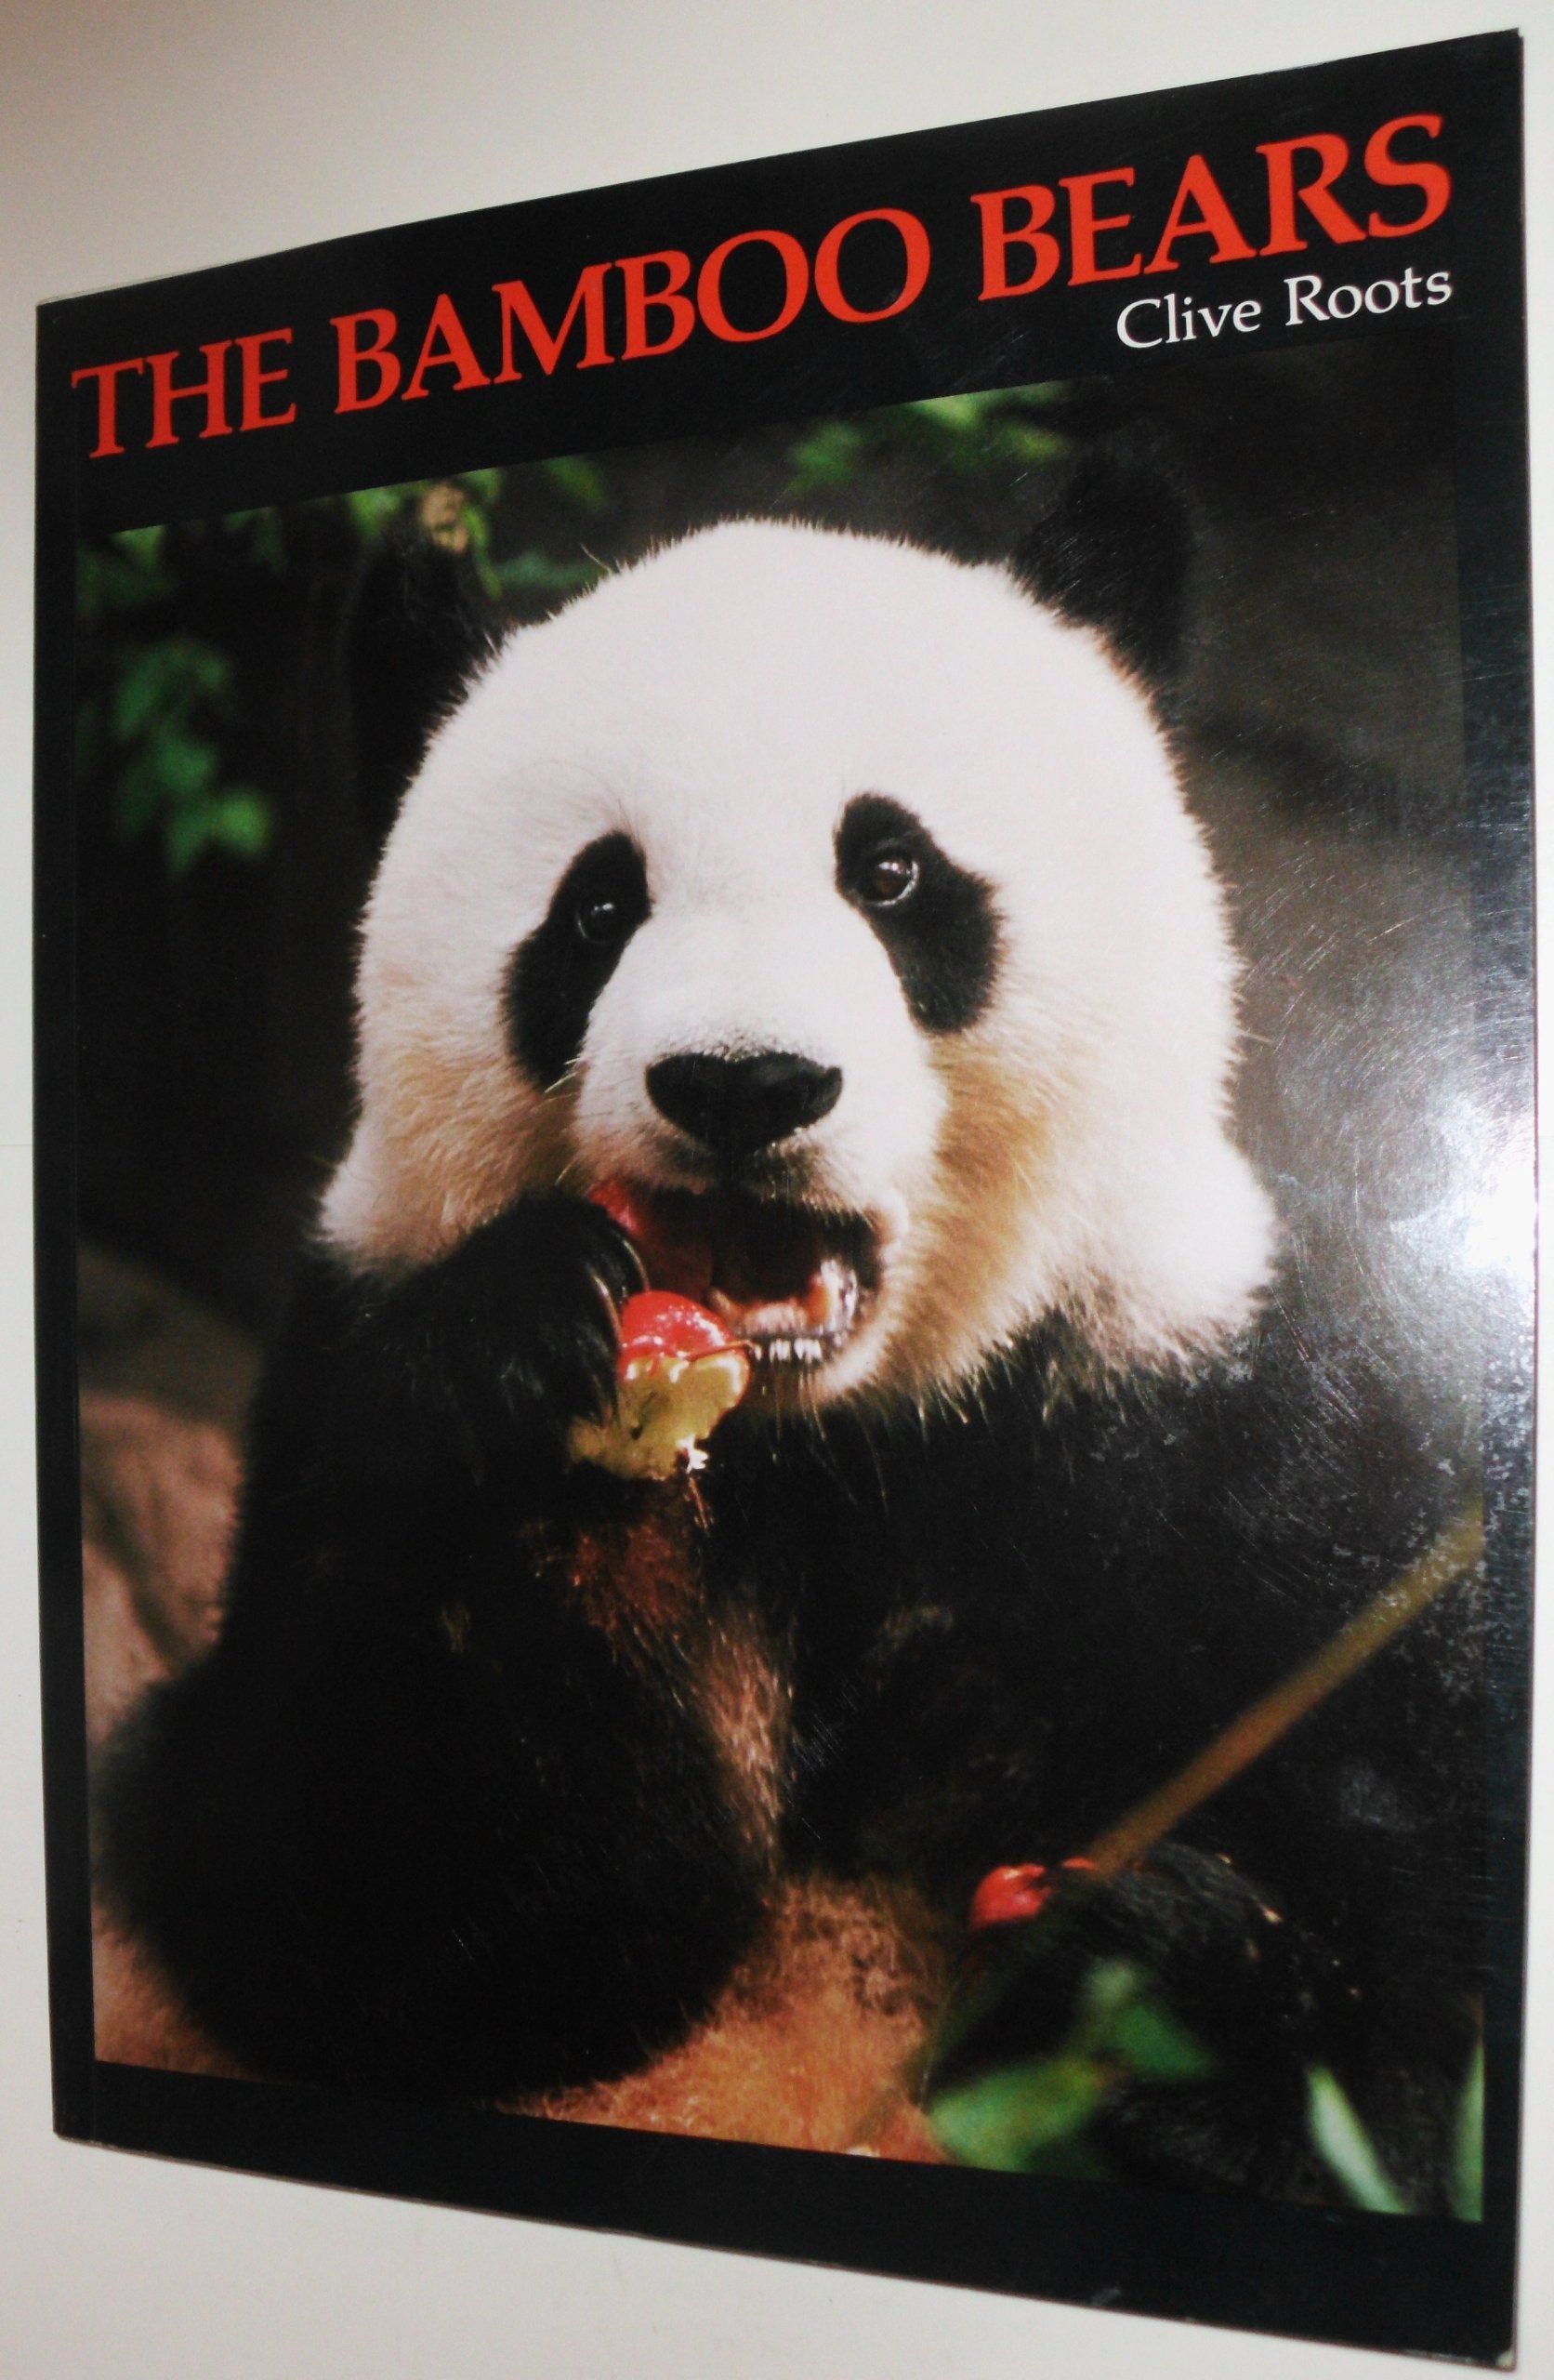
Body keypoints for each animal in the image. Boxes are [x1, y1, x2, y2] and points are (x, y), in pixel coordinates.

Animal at [98, 517, 1484, 2206]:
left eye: (890, 871)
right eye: (596, 909)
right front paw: (536, 1383)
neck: (841, 1436)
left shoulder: (1210, 1423)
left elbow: (1403, 1888)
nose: (741, 1083)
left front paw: (1172, 1996)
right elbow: (355, 1900)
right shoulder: (339, 1362)